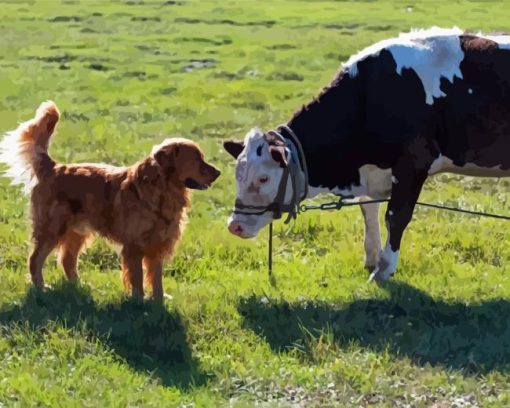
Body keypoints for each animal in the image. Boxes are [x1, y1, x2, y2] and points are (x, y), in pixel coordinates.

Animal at [1, 101, 221, 302]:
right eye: (197, 160)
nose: (218, 172)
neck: (161, 189)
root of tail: (54, 167)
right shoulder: (134, 246)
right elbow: (137, 277)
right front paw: (139, 301)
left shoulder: (157, 244)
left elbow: (156, 278)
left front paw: (158, 301)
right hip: (52, 228)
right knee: (35, 259)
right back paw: (41, 287)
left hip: (76, 231)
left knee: (67, 260)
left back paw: (79, 286)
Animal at [225, 27, 510, 282]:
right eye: (237, 175)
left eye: (263, 178)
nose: (234, 225)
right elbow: (368, 211)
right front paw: (372, 258)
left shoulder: (413, 163)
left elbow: (395, 215)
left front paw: (383, 270)